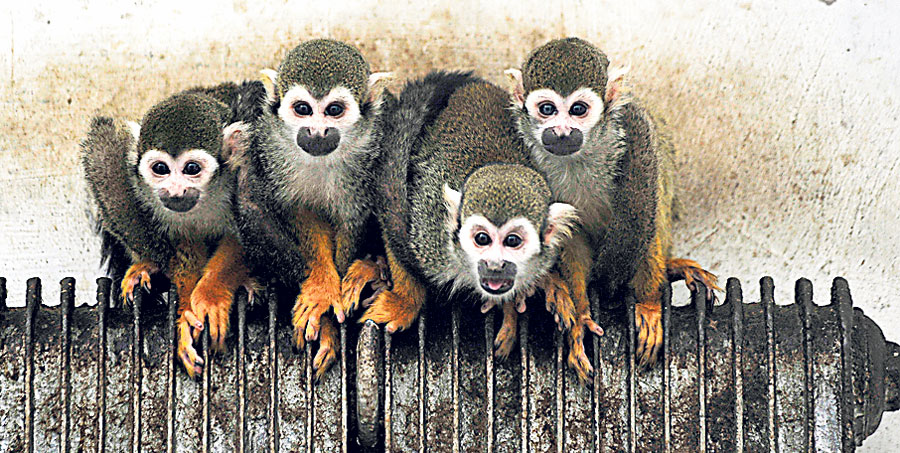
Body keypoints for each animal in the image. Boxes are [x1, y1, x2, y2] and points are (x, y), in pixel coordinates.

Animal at [82, 83, 259, 377]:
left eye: (192, 168)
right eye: (160, 169)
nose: (175, 191)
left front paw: (212, 295)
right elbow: (185, 247)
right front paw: (185, 311)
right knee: (103, 145)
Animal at [232, 39, 393, 380]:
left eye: (334, 110)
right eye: (303, 109)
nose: (317, 132)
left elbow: (352, 222)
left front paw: (332, 318)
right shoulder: (272, 150)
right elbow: (299, 212)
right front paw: (321, 288)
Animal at [505, 37, 721, 371]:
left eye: (578, 110)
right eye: (547, 109)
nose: (562, 132)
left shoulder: (633, 141)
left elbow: (644, 219)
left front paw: (648, 305)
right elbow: (568, 237)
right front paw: (581, 316)